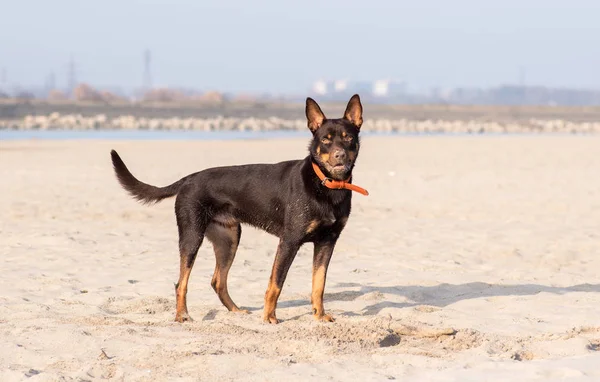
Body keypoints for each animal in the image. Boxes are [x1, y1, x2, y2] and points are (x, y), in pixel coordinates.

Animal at [110, 94, 368, 324]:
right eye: (325, 140)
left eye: (348, 137)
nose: (339, 155)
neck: (327, 184)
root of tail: (189, 179)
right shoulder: (289, 241)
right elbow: (276, 283)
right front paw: (269, 317)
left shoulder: (327, 242)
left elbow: (319, 284)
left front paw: (320, 316)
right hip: (192, 236)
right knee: (181, 282)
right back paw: (182, 315)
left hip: (229, 238)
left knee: (218, 281)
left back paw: (235, 311)